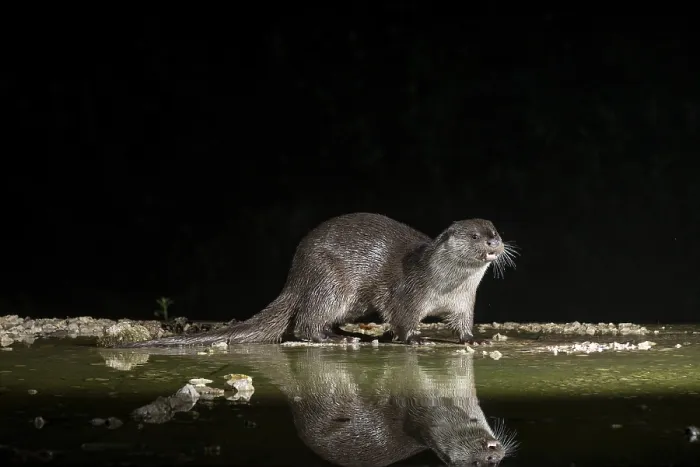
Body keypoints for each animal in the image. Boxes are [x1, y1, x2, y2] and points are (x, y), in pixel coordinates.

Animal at [117, 212, 517, 348]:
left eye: (495, 231)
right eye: (476, 236)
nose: (495, 243)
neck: (443, 284)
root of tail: (295, 277)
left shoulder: (464, 302)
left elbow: (463, 323)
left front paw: (473, 339)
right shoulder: (409, 293)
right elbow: (401, 318)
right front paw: (415, 338)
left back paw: (352, 335)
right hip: (332, 282)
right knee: (306, 324)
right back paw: (335, 340)